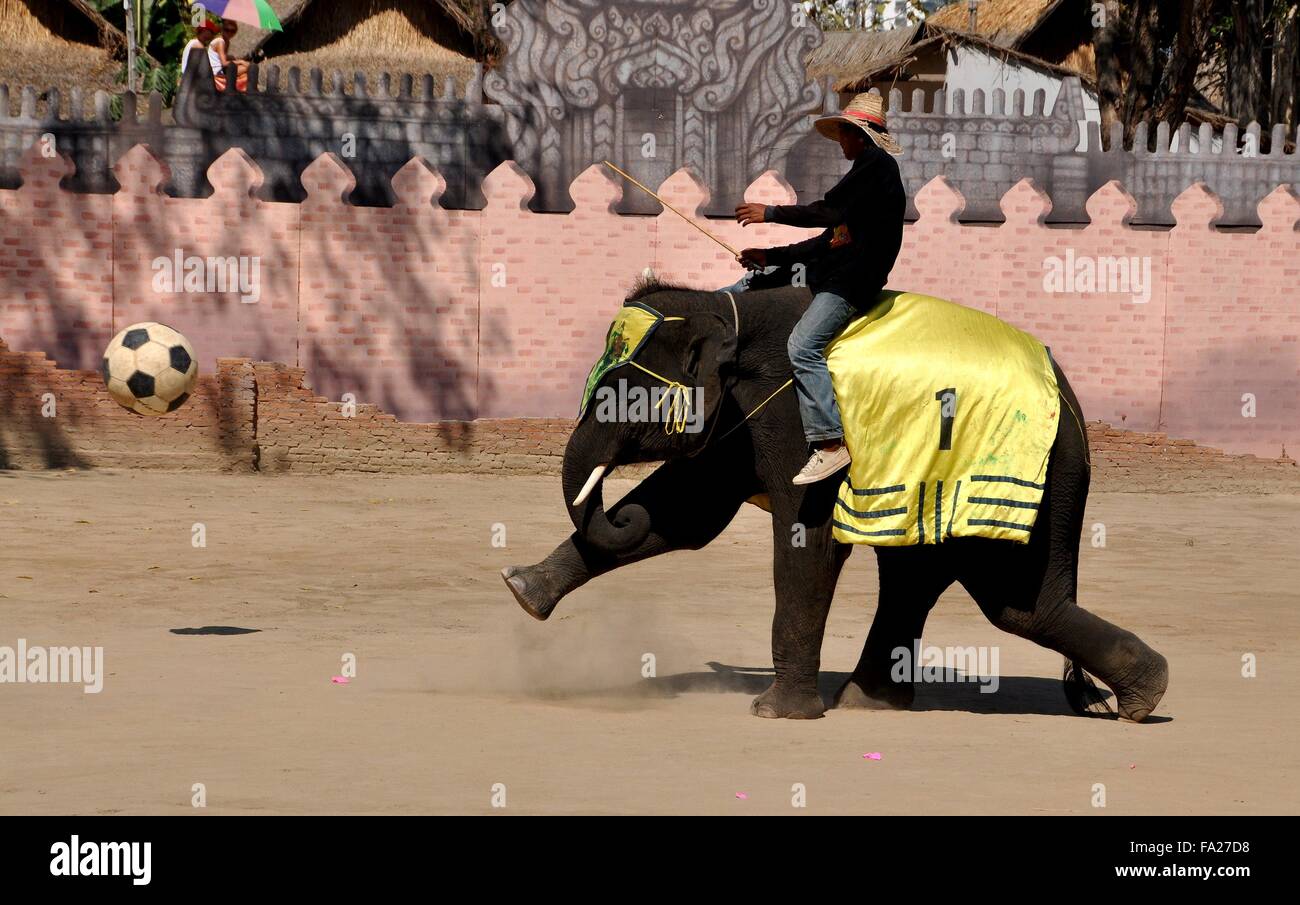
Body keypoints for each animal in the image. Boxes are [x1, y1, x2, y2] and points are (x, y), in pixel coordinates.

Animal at [499, 280, 1170, 722]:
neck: (723, 307)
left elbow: (806, 540)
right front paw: (523, 591)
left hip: (1037, 477)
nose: (617, 511)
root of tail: (1073, 401)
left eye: (624, 397)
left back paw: (1144, 699)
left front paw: (773, 713)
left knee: (1016, 604)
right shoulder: (739, 422)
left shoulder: (796, 414)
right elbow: (686, 513)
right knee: (926, 582)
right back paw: (872, 702)